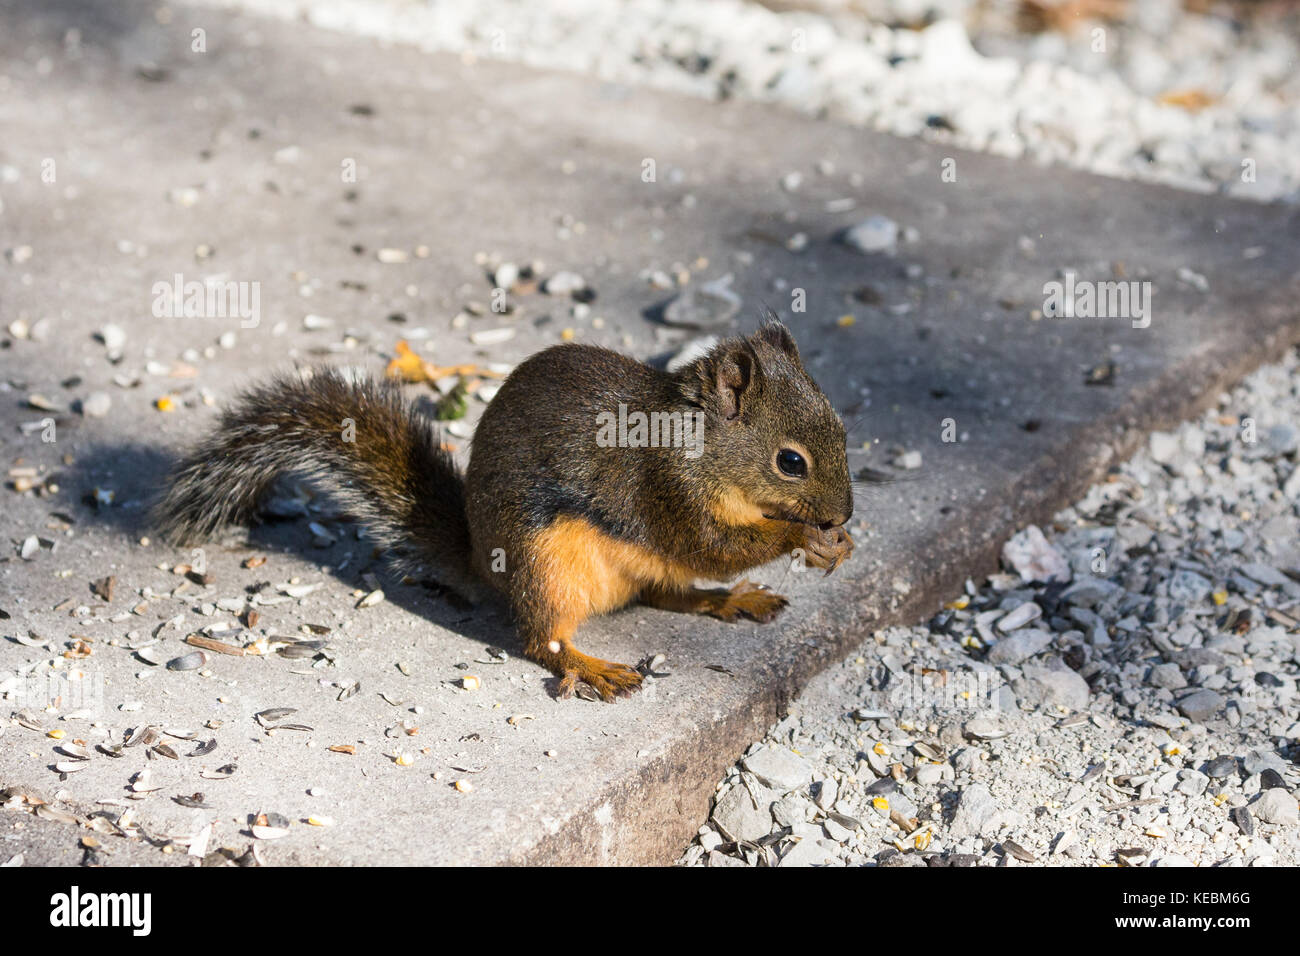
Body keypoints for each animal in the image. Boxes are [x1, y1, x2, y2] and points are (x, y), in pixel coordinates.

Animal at [154, 318, 854, 701]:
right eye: (790, 462)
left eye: (845, 428)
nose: (844, 516)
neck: (698, 444)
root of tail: (481, 564)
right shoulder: (666, 491)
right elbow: (711, 544)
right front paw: (803, 538)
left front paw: (833, 545)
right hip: (544, 562)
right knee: (544, 639)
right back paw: (588, 665)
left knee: (668, 595)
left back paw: (730, 600)